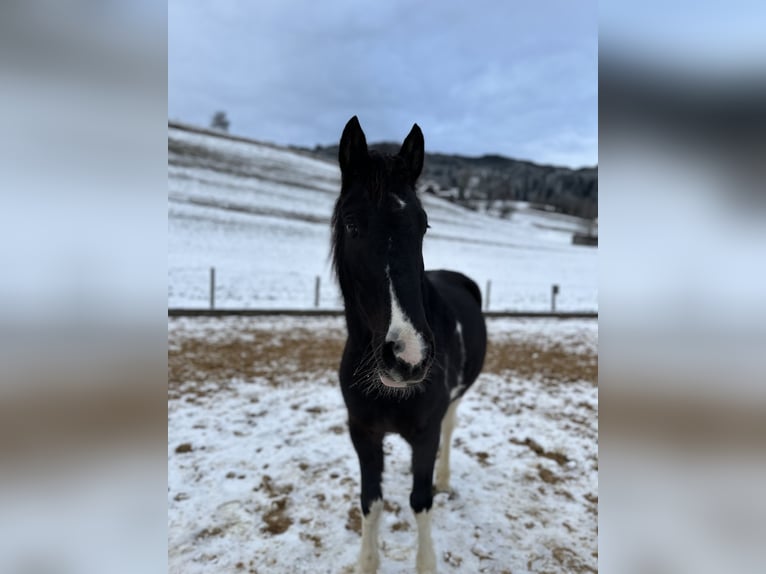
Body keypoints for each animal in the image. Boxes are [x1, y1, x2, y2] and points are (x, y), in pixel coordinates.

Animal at [332, 118, 488, 574]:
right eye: (352, 224)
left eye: (423, 225)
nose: (408, 357)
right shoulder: (362, 432)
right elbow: (371, 502)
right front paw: (367, 562)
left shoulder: (424, 432)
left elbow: (420, 502)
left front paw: (426, 561)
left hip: (454, 403)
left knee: (450, 431)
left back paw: (444, 479)